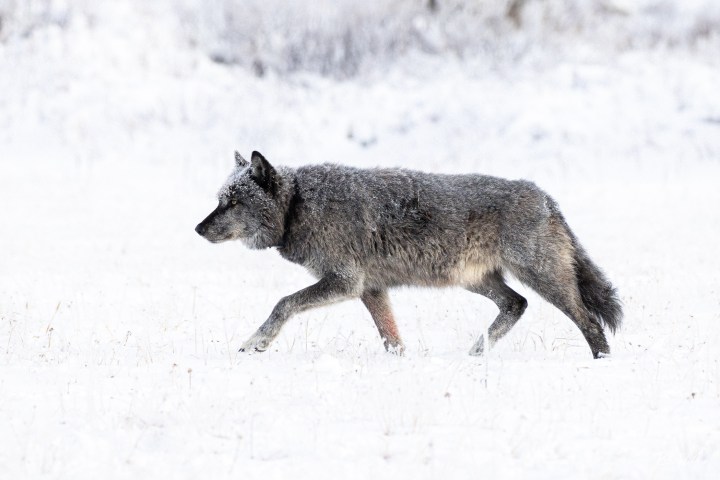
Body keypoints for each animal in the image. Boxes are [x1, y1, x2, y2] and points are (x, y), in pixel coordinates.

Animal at [195, 151, 622, 358]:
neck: (299, 205)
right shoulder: (370, 290)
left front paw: (255, 343)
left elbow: (283, 303)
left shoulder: (345, 283)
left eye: (233, 202)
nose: (198, 229)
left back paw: (602, 363)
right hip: (476, 281)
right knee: (517, 305)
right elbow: (392, 339)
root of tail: (547, 197)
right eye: (220, 200)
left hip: (542, 279)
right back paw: (476, 353)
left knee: (589, 321)